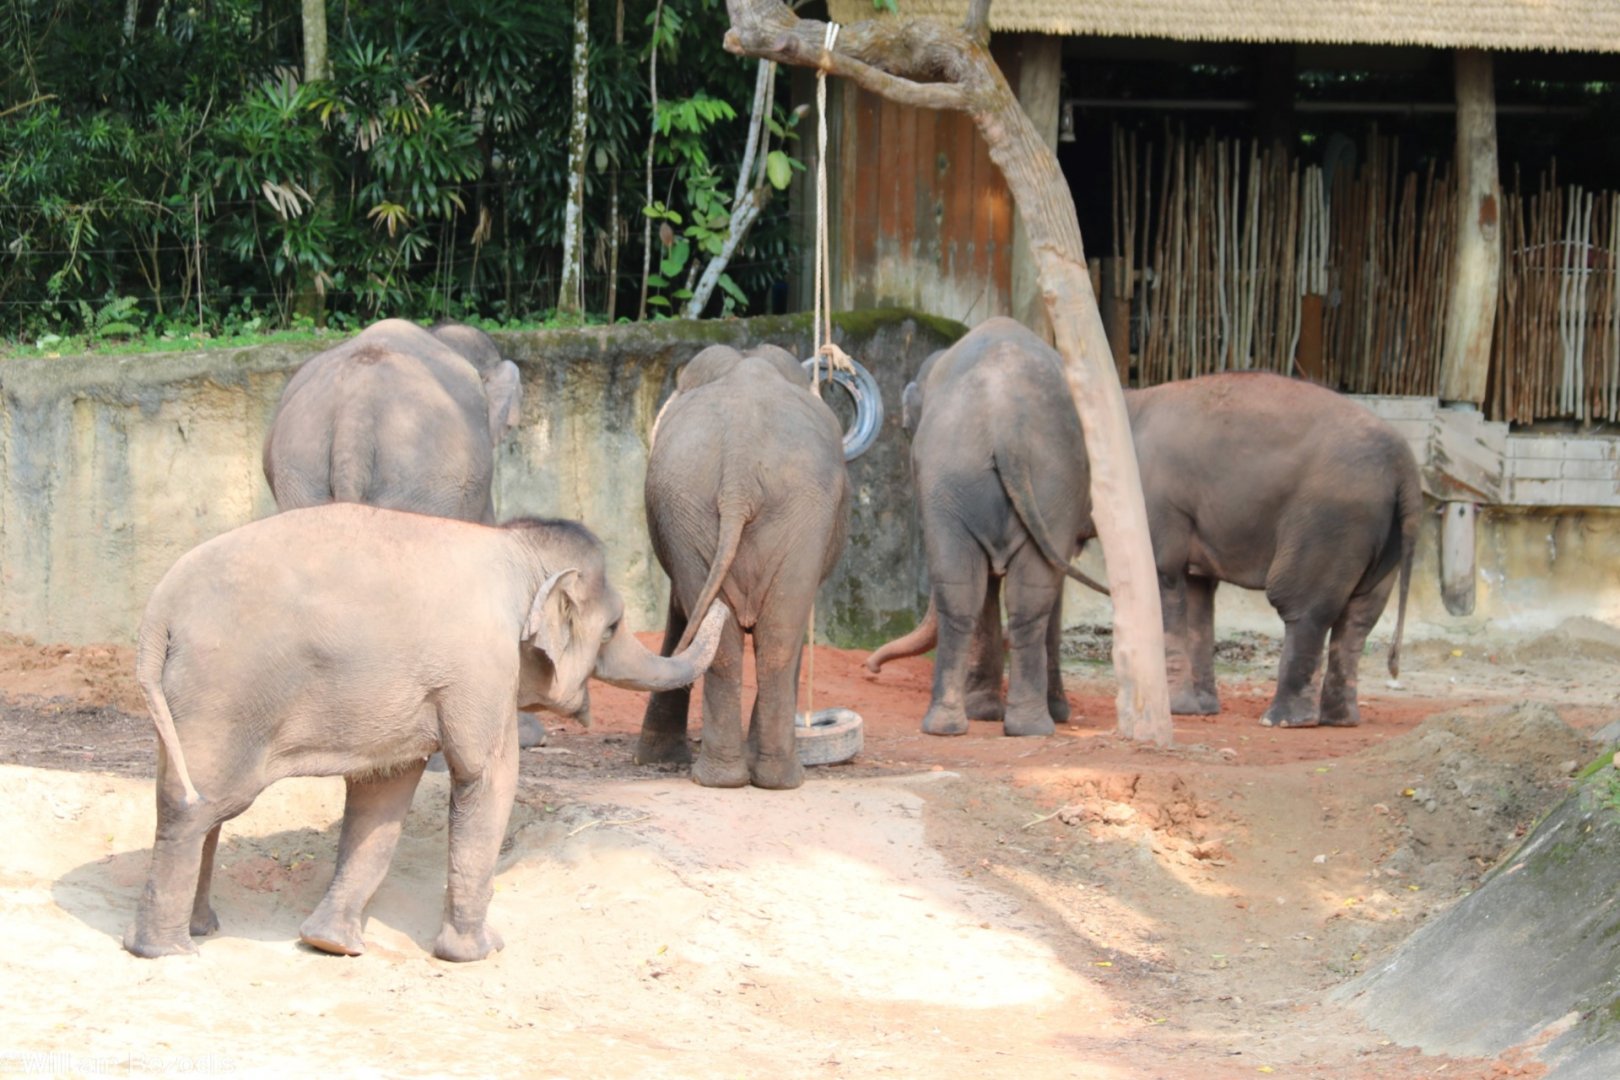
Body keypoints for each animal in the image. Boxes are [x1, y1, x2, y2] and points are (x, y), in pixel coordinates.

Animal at [123, 503, 727, 962]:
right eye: (613, 627)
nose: (721, 601)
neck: (518, 551)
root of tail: (157, 612)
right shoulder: (482, 668)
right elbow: (487, 778)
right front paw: (480, 952)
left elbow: (383, 794)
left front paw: (331, 944)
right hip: (224, 694)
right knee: (198, 807)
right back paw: (169, 950)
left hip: (186, 701)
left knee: (196, 800)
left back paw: (196, 931)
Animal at [635, 343, 850, 790]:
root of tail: (740, 469)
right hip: (721, 511)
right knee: (771, 639)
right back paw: (760, 778)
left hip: (726, 508)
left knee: (764, 639)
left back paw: (751, 779)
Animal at [869, 318, 1422, 731]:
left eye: (906, 429)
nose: (870, 669)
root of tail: (1406, 468)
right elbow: (1196, 595)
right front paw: (1196, 710)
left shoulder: (1154, 509)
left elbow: (1165, 583)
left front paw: (1177, 710)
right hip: (1378, 534)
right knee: (1358, 618)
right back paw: (1339, 720)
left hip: (1332, 522)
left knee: (1303, 609)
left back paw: (1283, 720)